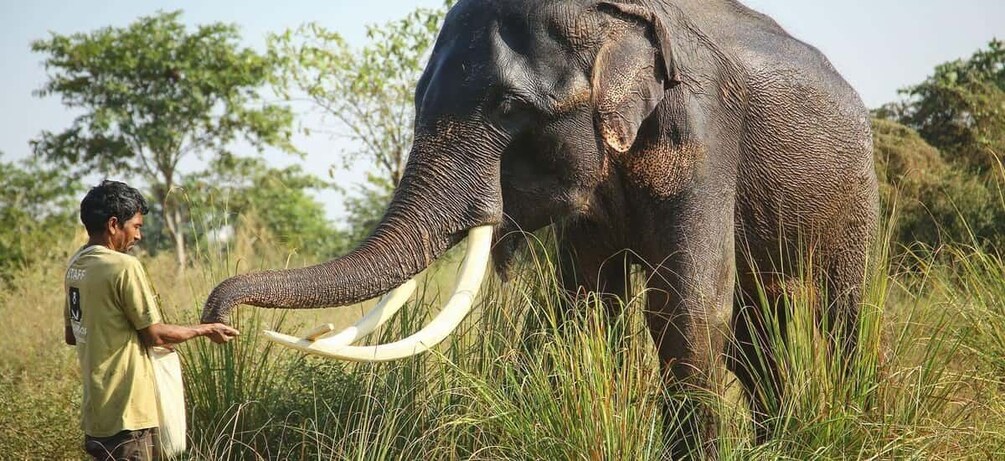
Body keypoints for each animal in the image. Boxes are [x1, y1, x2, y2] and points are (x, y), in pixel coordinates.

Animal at [202, 0, 879, 457]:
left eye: (507, 108)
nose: (221, 324)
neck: (612, 19)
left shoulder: (701, 129)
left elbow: (685, 307)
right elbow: (589, 304)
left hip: (857, 194)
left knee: (837, 314)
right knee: (754, 334)